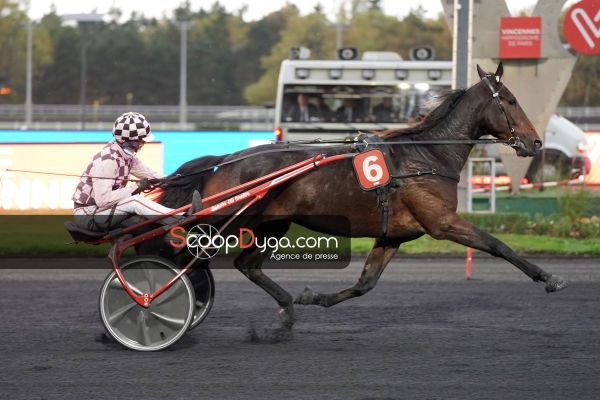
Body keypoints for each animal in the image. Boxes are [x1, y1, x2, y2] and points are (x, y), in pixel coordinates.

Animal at [151, 61, 568, 332]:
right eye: (510, 100)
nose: (535, 142)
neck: (427, 156)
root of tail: (225, 159)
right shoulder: (443, 222)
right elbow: (498, 245)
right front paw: (549, 277)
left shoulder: (393, 234)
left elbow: (365, 283)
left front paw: (313, 298)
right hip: (228, 219)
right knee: (183, 257)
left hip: (273, 224)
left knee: (245, 265)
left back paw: (285, 310)